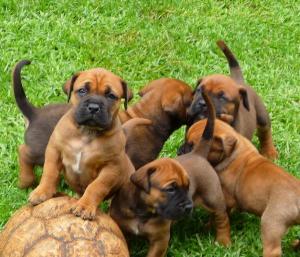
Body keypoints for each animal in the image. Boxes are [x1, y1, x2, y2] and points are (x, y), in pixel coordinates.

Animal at [27, 66, 134, 218]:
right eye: (82, 90)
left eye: (111, 96)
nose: (94, 107)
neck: (87, 133)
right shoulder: (54, 150)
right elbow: (49, 172)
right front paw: (42, 191)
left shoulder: (111, 166)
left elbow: (96, 186)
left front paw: (85, 205)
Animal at [111, 90, 231, 256]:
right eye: (170, 189)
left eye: (188, 187)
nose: (188, 206)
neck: (143, 211)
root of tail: (198, 153)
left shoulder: (160, 240)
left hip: (213, 197)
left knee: (222, 218)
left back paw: (223, 241)